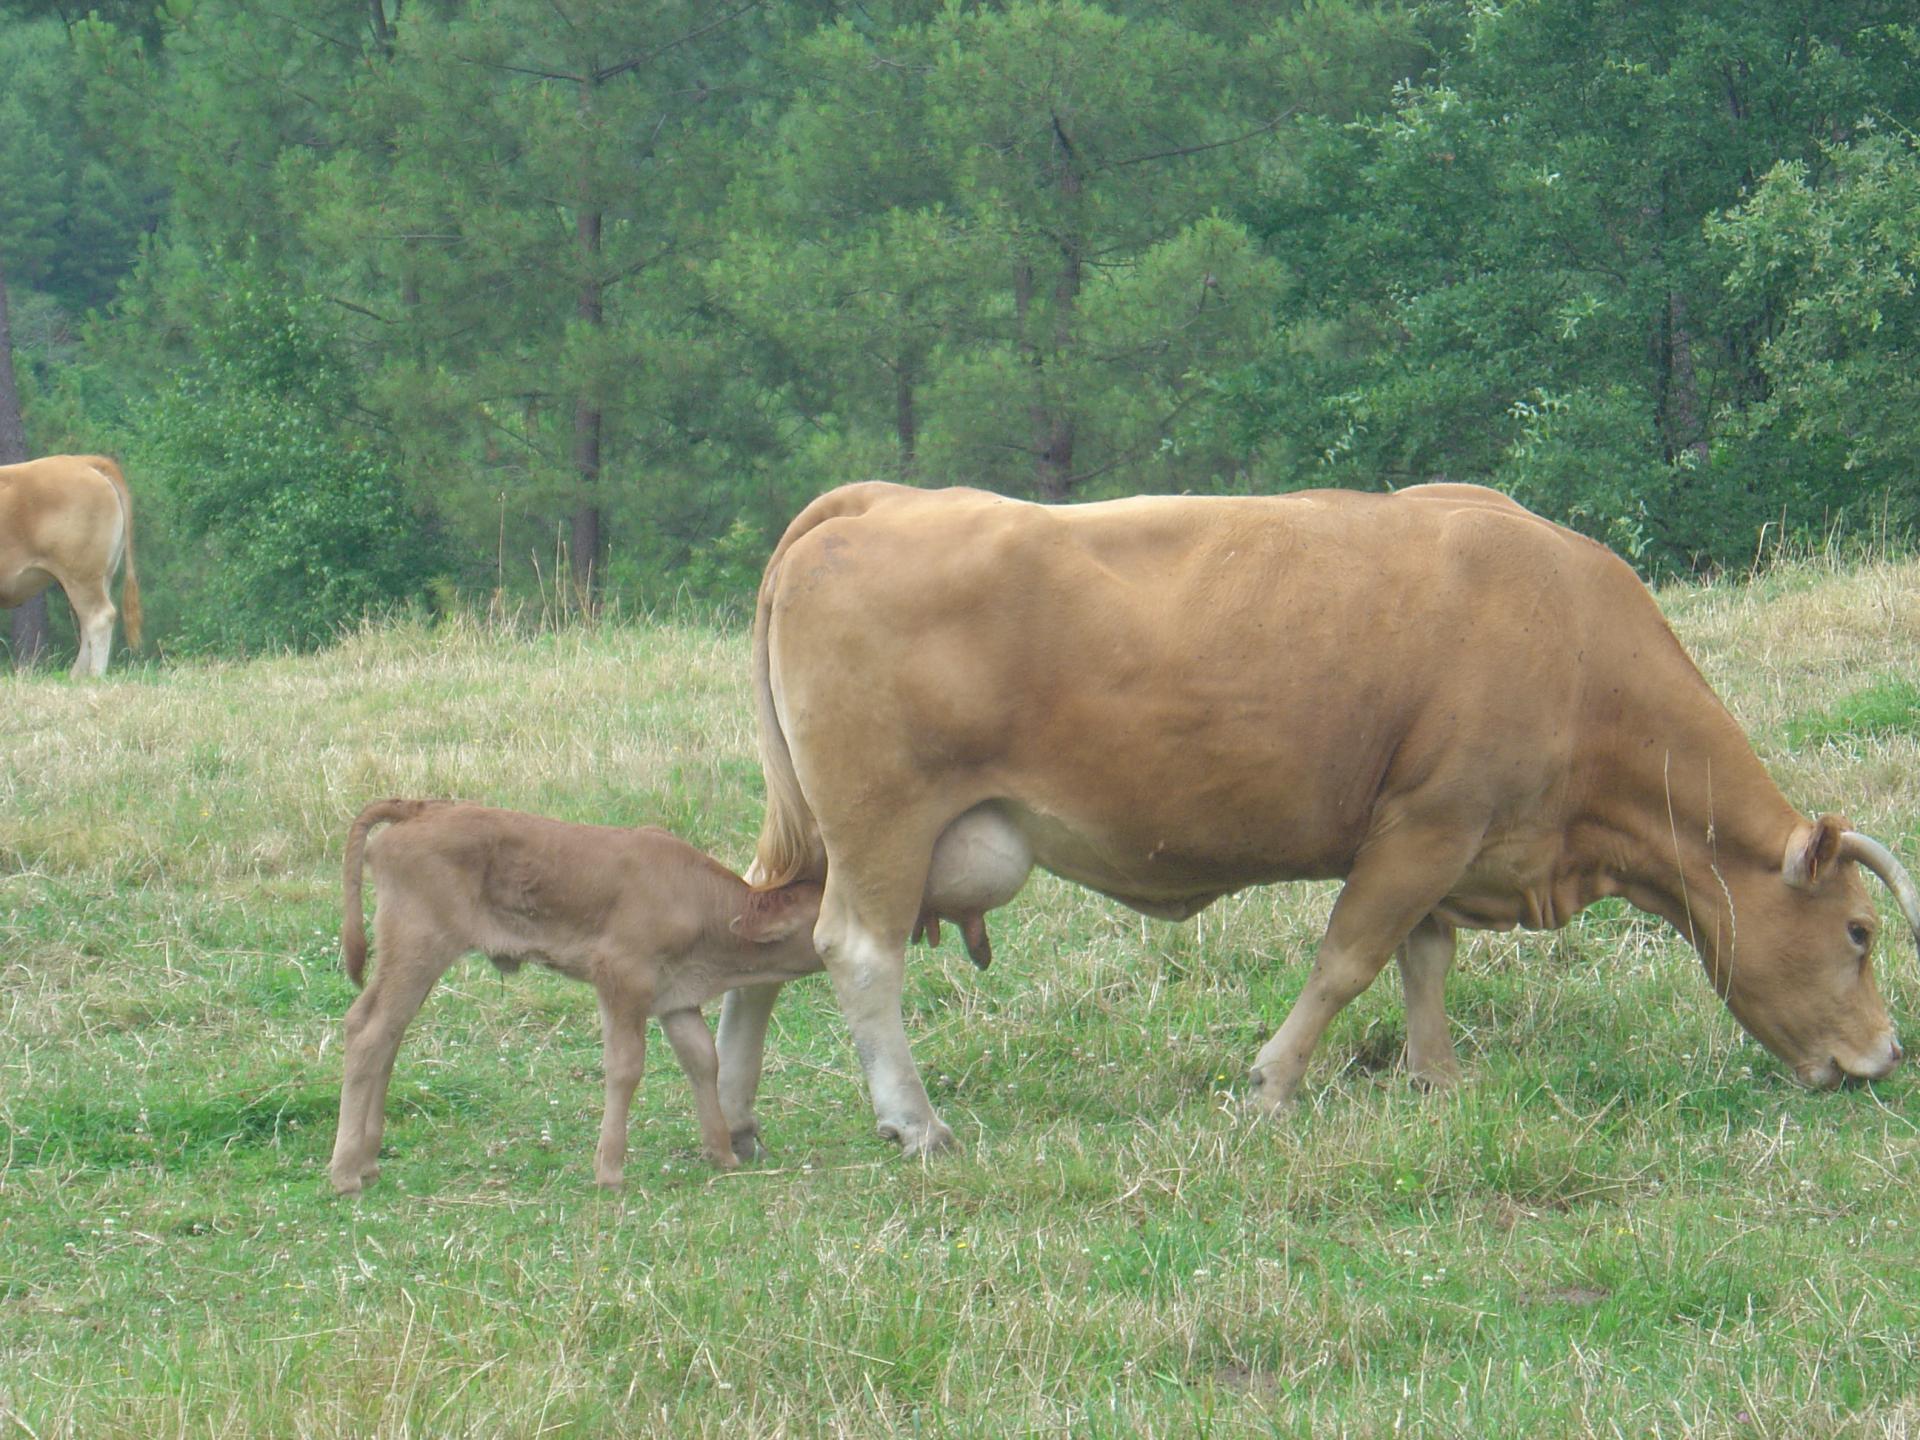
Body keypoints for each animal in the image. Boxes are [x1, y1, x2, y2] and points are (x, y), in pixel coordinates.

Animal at [0, 456, 142, 683]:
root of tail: (83, 460)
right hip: (99, 576)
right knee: (87, 623)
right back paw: (77, 676)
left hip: (80, 575)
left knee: (99, 617)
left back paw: (94, 676)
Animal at [330, 802, 825, 1198]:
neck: (702, 905)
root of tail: (422, 808)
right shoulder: (621, 976)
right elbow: (626, 1067)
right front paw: (609, 1171)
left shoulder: (675, 996)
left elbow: (703, 1059)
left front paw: (722, 1154)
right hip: (419, 943)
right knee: (368, 1032)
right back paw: (345, 1173)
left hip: (408, 956)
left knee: (386, 1033)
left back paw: (368, 1162)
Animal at [718, 485, 1920, 1159]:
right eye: (1861, 933)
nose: (1885, 1057)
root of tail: (874, 499)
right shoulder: (1425, 825)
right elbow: (1350, 958)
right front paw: (1271, 1085)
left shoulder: (1450, 842)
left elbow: (1424, 958)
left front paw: (1436, 1079)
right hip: (884, 827)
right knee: (858, 955)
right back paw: (915, 1123)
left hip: (827, 840)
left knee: (760, 944)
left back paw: (735, 1121)